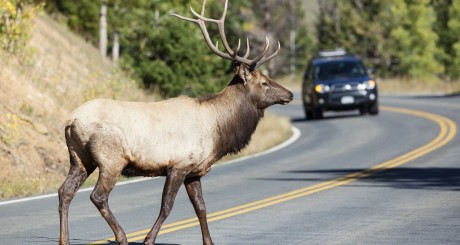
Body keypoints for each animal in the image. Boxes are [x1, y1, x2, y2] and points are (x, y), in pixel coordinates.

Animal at [59, 0, 292, 245]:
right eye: (265, 82)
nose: (290, 94)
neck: (218, 131)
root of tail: (71, 121)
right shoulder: (178, 165)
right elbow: (167, 206)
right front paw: (148, 239)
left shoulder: (194, 171)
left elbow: (201, 208)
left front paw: (209, 242)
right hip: (111, 159)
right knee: (98, 196)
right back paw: (121, 236)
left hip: (79, 158)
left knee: (65, 191)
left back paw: (65, 239)